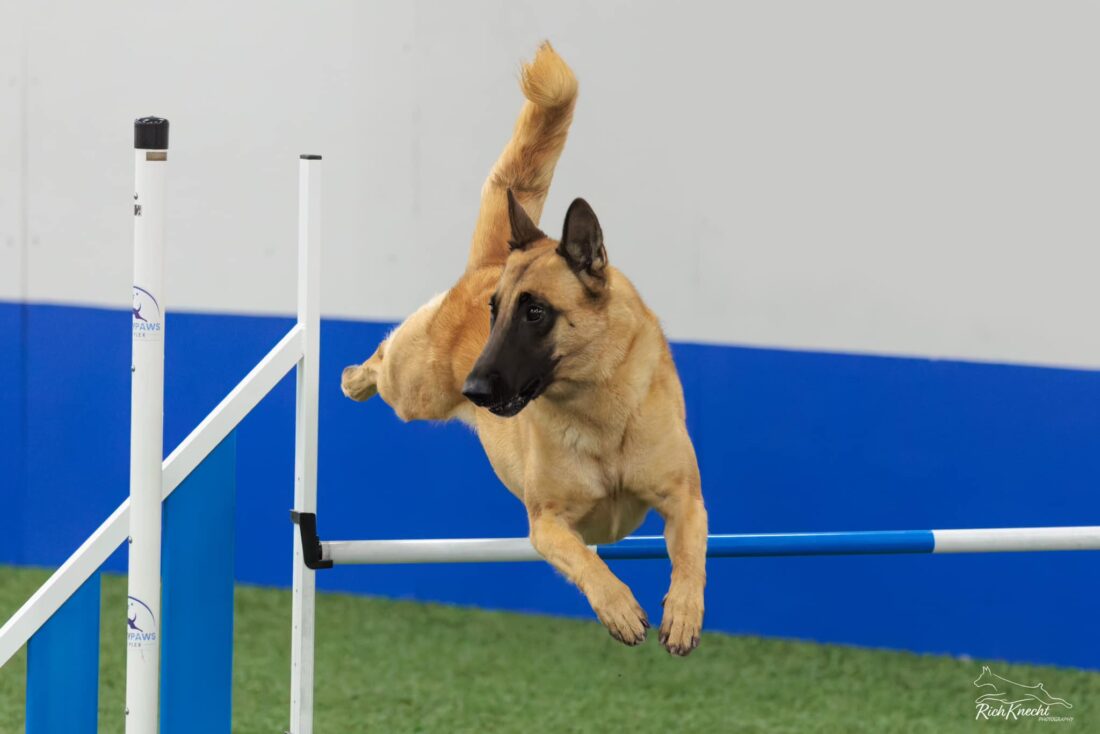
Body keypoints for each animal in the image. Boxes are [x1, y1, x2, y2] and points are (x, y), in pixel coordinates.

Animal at [341, 43, 707, 655]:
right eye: (496, 312)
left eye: (535, 313)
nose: (474, 389)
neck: (598, 409)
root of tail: (494, 258)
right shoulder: (546, 525)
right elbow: (589, 563)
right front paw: (618, 607)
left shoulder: (685, 499)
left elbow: (690, 556)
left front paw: (682, 611)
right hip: (415, 387)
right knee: (381, 359)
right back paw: (353, 377)